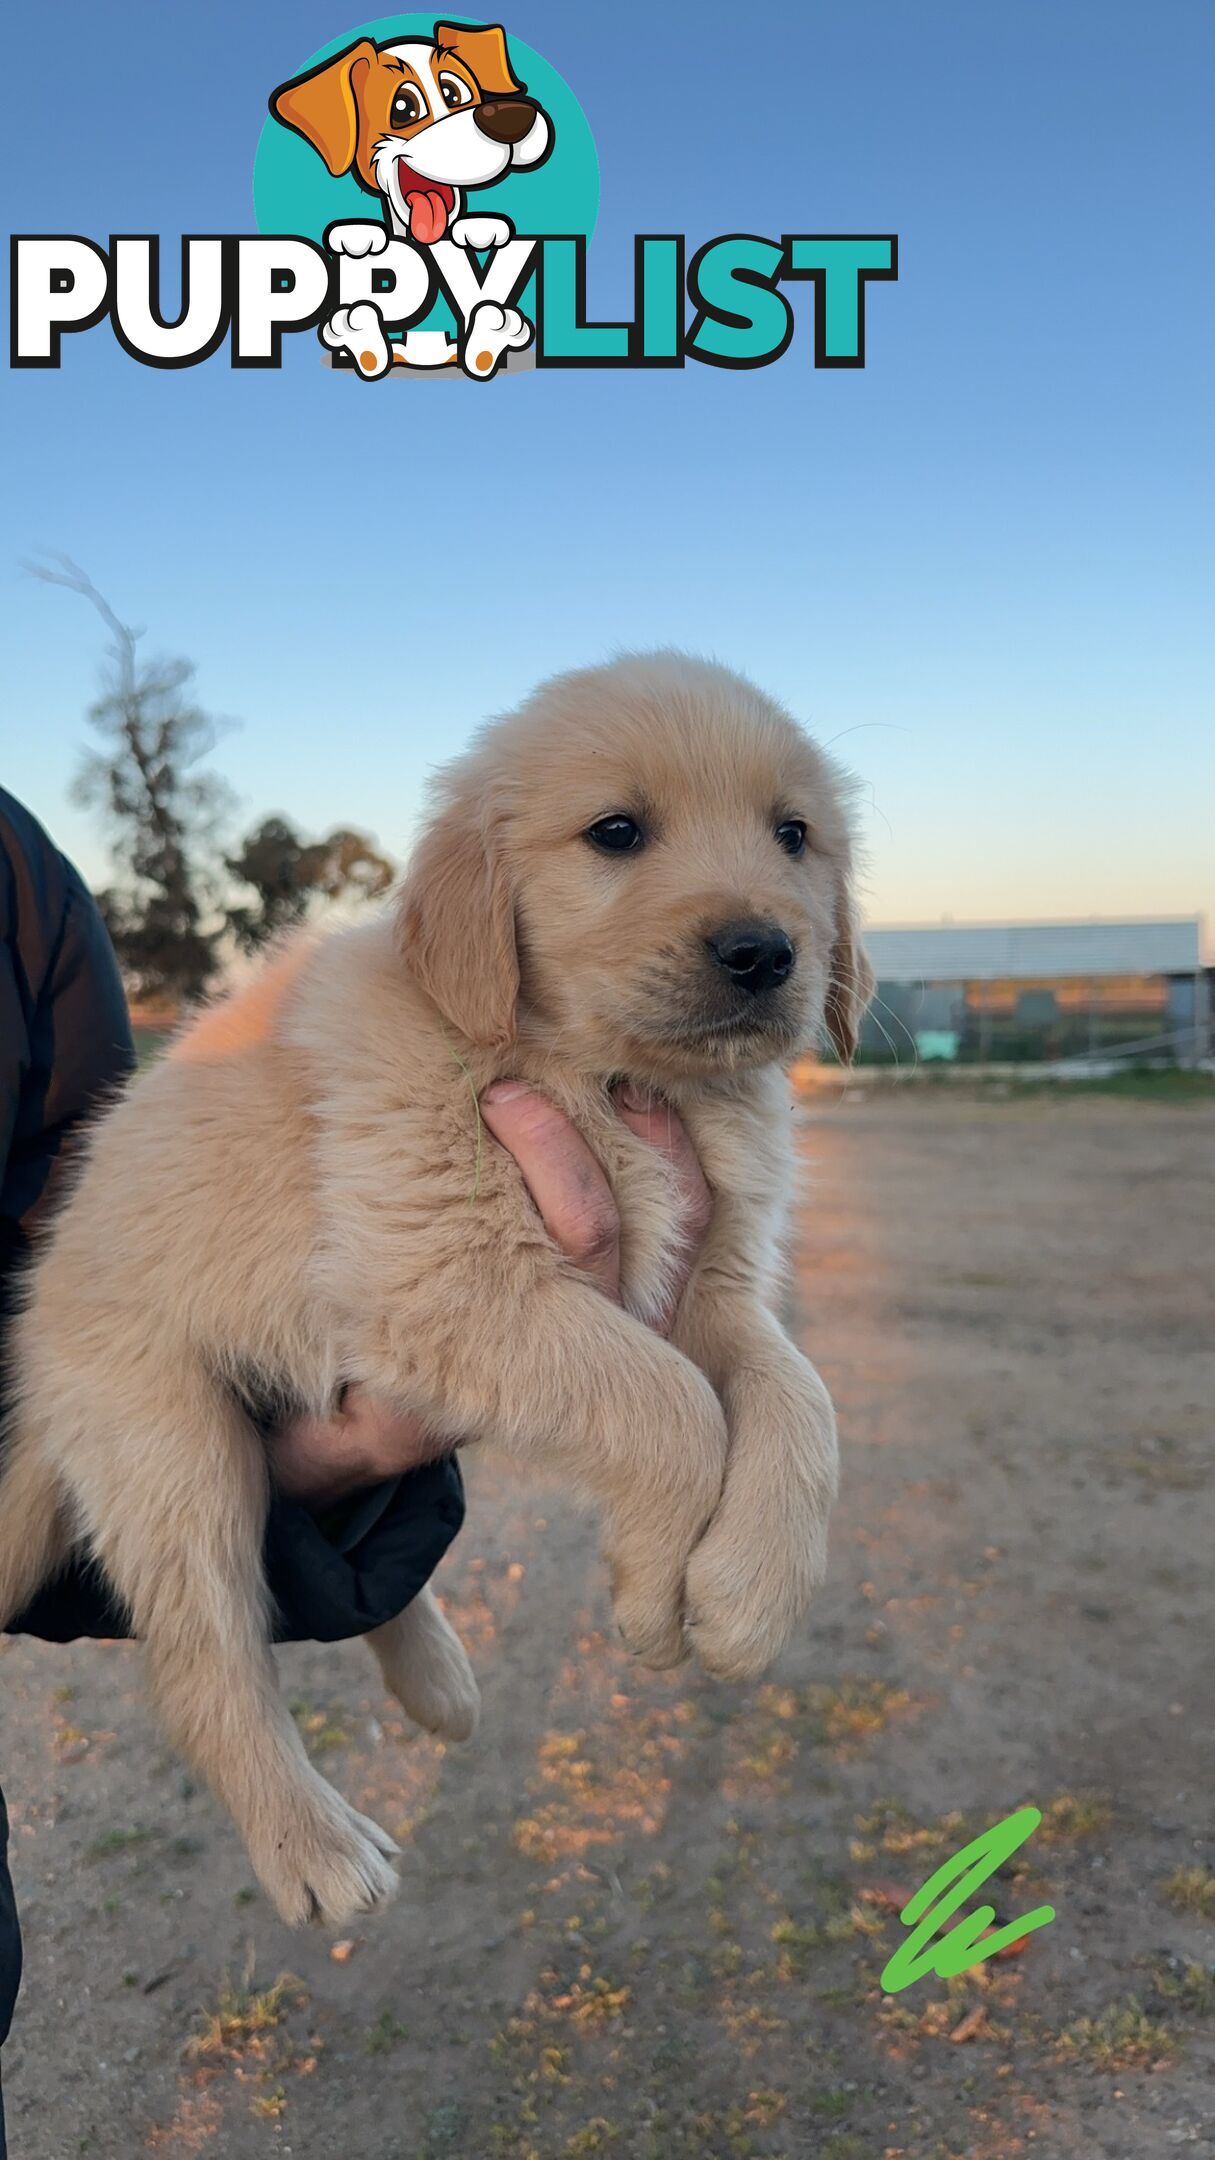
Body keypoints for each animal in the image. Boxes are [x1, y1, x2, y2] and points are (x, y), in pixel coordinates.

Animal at [0, 652, 869, 1926]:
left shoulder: (708, 1286)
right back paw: (312, 1847)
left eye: (793, 834)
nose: (764, 952)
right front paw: (655, 1593)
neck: (600, 1072)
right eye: (617, 832)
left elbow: (801, 1400)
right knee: (208, 1658)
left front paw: (750, 1593)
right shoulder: (448, 1286)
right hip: (167, 1440)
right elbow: (673, 1408)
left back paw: (439, 1683)